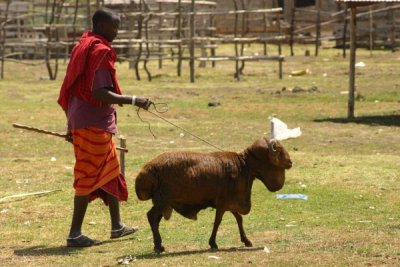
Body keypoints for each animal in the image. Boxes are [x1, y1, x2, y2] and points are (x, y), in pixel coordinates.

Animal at [134, 138, 290, 253]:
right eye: (280, 150)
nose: (290, 162)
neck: (244, 167)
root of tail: (146, 170)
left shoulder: (229, 202)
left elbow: (239, 219)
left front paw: (246, 240)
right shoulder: (222, 202)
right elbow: (218, 222)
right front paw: (213, 243)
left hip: (163, 202)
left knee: (155, 219)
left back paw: (158, 245)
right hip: (163, 199)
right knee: (151, 217)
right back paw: (158, 246)